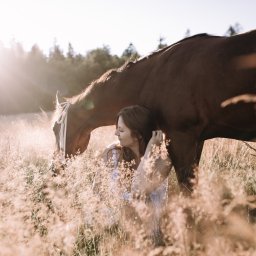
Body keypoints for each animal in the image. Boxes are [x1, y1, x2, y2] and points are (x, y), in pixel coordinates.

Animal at [52, 30, 256, 192]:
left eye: (55, 129)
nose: (53, 169)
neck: (154, 77)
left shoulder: (182, 138)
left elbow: (186, 189)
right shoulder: (197, 140)